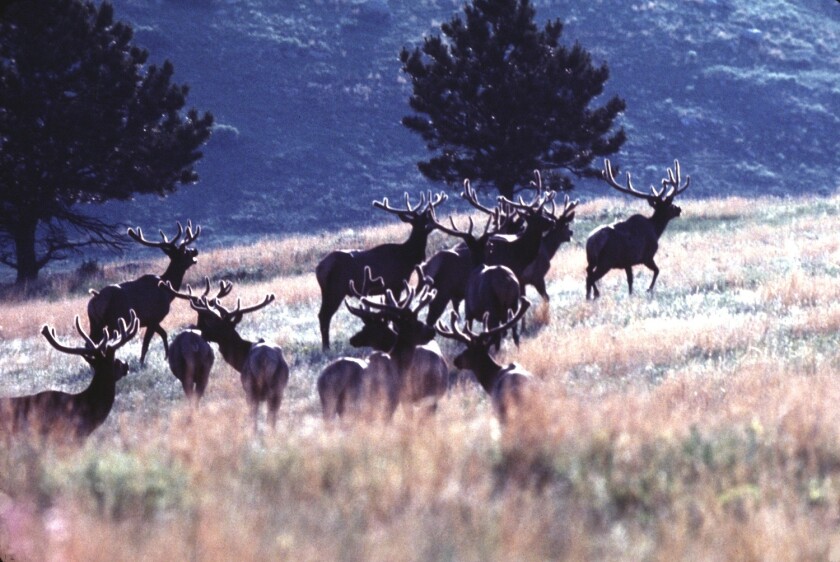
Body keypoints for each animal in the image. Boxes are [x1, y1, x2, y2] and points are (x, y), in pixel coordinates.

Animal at [88, 219, 200, 364]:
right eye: (185, 251)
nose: (195, 250)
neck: (168, 293)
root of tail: (95, 300)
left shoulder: (151, 321)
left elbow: (164, 334)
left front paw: (166, 357)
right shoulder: (153, 317)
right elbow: (146, 344)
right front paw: (142, 362)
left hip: (95, 323)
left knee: (90, 343)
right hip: (113, 322)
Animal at [164, 278, 288, 428]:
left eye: (215, 324)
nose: (202, 332)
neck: (242, 356)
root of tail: (265, 360)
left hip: (250, 388)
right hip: (278, 388)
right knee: (272, 419)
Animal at [314, 192, 446, 350]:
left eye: (426, 217)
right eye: (417, 221)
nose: (433, 223)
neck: (407, 257)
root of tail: (318, 268)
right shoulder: (395, 285)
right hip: (335, 290)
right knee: (324, 315)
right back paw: (326, 348)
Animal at [584, 158, 688, 298]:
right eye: (668, 203)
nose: (678, 209)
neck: (656, 230)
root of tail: (592, 242)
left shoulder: (627, 262)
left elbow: (630, 281)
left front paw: (631, 294)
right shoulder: (646, 256)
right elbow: (657, 271)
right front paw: (648, 289)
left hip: (592, 260)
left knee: (587, 273)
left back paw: (589, 296)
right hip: (606, 261)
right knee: (591, 277)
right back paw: (596, 294)